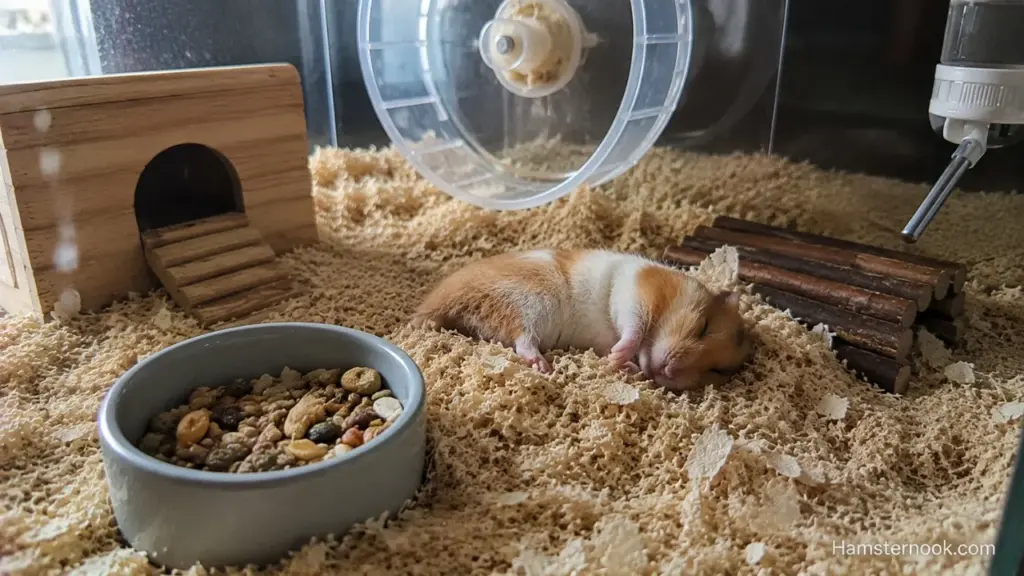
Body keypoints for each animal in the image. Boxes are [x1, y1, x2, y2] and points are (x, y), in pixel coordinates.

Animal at [412, 249, 752, 392]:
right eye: (703, 327)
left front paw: (621, 364)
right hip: (530, 302)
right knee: (523, 340)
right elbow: (633, 327)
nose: (667, 370)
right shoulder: (634, 291)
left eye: (717, 371)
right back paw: (543, 366)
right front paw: (618, 356)